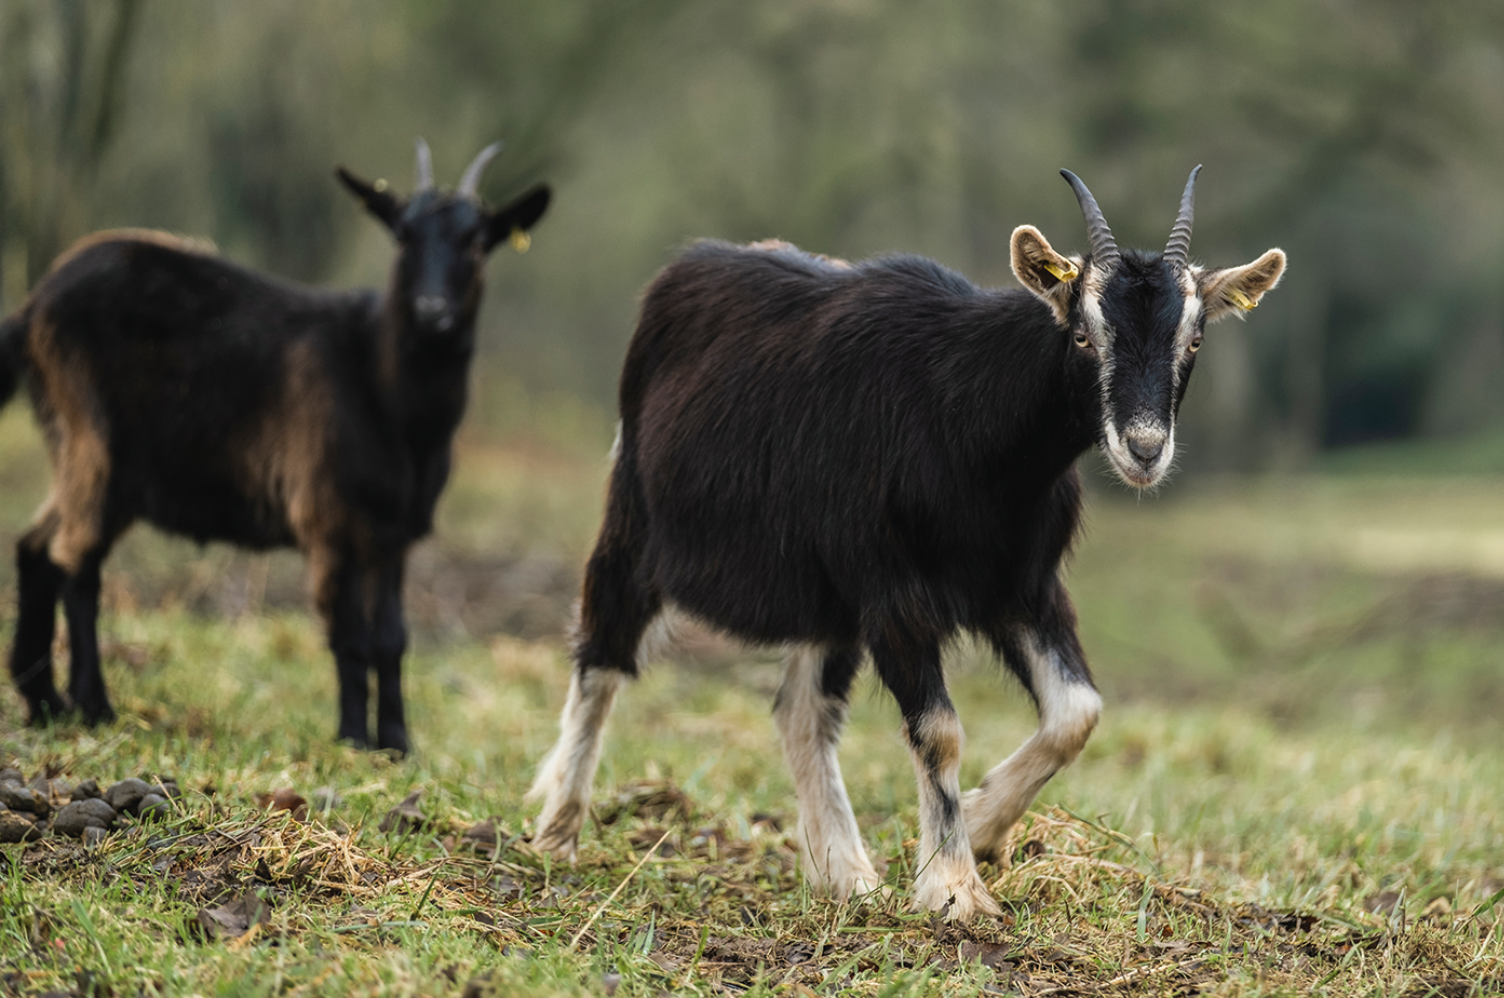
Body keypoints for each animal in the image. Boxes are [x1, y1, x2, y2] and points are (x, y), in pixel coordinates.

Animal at [0, 138, 553, 748]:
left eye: (477, 241)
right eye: (404, 235)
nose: (433, 312)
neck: (384, 391)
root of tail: (31, 307)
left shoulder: (394, 534)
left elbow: (391, 637)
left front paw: (397, 743)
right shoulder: (329, 515)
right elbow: (349, 634)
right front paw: (353, 739)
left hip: (91, 457)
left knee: (37, 546)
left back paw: (44, 700)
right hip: (94, 440)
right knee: (77, 560)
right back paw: (92, 705)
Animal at [529, 167, 1281, 913]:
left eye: (1193, 340)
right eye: (1081, 335)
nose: (1144, 450)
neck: (969, 421)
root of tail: (690, 265)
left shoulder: (1023, 586)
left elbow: (1077, 713)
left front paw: (979, 825)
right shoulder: (893, 588)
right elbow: (940, 731)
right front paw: (953, 887)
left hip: (825, 596)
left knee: (802, 711)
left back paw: (846, 873)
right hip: (636, 523)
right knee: (602, 655)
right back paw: (558, 831)